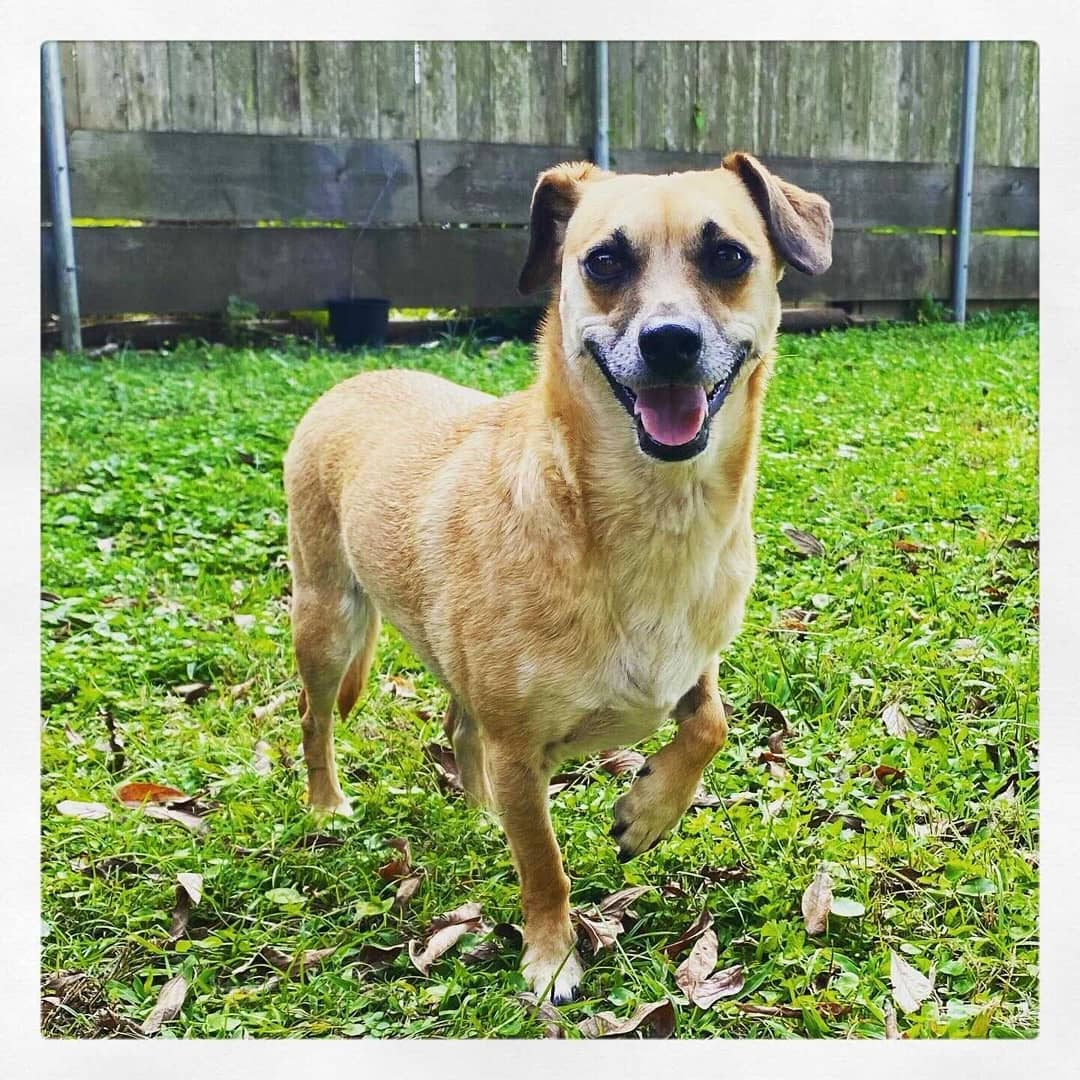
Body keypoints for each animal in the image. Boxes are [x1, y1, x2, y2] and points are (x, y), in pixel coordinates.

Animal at [282, 154, 829, 1002]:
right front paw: (551, 956)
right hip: (328, 619)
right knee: (316, 719)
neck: (648, 519)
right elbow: (543, 864)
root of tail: (356, 378)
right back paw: (326, 803)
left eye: (728, 257)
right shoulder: (519, 749)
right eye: (603, 262)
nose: (670, 342)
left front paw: (648, 811)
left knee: (457, 724)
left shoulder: (690, 668)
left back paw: (479, 818)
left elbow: (712, 724)